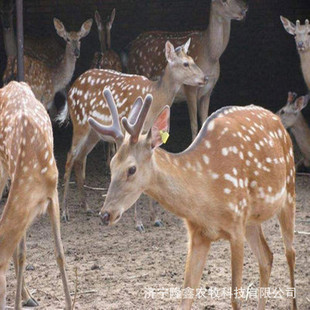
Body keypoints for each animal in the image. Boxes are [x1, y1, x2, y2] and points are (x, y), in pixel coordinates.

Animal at [0, 81, 71, 310]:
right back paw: (27, 296)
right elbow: (22, 254)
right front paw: (18, 303)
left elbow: (60, 253)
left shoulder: (53, 192)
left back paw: (28, 296)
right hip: (4, 167)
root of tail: (12, 82)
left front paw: (70, 304)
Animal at [58, 39, 208, 230]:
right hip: (80, 123)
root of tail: (71, 89)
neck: (156, 100)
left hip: (94, 132)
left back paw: (86, 207)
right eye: (185, 63)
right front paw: (138, 223)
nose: (205, 78)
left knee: (80, 159)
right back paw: (65, 213)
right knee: (70, 157)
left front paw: (155, 218)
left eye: (192, 59)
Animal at [88, 88, 296, 310]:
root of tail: (277, 119)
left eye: (131, 169)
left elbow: (235, 297)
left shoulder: (236, 224)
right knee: (267, 257)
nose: (105, 214)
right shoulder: (198, 234)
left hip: (289, 189)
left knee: (289, 253)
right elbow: (186, 296)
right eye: (111, 164)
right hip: (251, 220)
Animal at [125, 0, 247, 139]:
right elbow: (194, 125)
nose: (244, 9)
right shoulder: (190, 89)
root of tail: (131, 47)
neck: (211, 55)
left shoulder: (208, 90)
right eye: (223, 1)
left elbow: (205, 120)